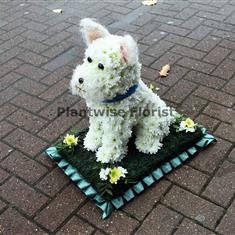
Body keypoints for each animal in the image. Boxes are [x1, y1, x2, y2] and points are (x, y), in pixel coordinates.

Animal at [70, 18, 175, 163]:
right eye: (89, 59)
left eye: (101, 66)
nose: (80, 80)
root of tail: (170, 116)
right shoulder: (97, 116)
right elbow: (96, 130)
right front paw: (91, 143)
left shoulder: (117, 124)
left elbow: (113, 141)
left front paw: (107, 156)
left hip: (153, 121)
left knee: (152, 135)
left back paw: (146, 146)